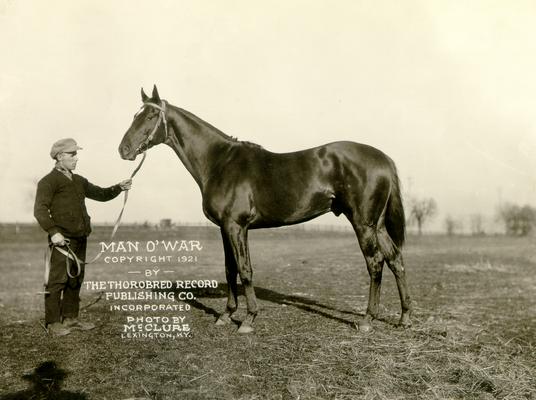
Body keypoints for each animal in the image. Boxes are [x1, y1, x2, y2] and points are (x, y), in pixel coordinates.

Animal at [118, 86, 410, 332]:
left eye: (150, 115)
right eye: (135, 114)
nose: (123, 149)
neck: (220, 162)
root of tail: (383, 158)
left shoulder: (236, 226)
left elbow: (245, 270)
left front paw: (248, 319)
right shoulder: (225, 228)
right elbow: (230, 269)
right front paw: (226, 315)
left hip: (363, 223)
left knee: (375, 263)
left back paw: (367, 320)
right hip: (377, 224)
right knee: (396, 260)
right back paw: (404, 318)